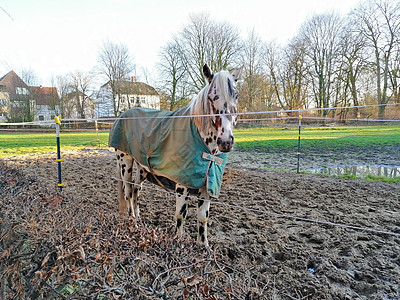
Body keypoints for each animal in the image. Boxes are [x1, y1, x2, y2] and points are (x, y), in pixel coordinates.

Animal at [108, 63, 242, 246]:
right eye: (212, 97)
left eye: (236, 95)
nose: (226, 142)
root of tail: (122, 115)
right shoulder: (182, 185)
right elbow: (181, 215)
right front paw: (179, 241)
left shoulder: (207, 185)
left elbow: (203, 217)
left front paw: (203, 245)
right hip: (125, 163)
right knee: (128, 191)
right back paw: (132, 221)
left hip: (142, 168)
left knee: (136, 190)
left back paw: (138, 218)